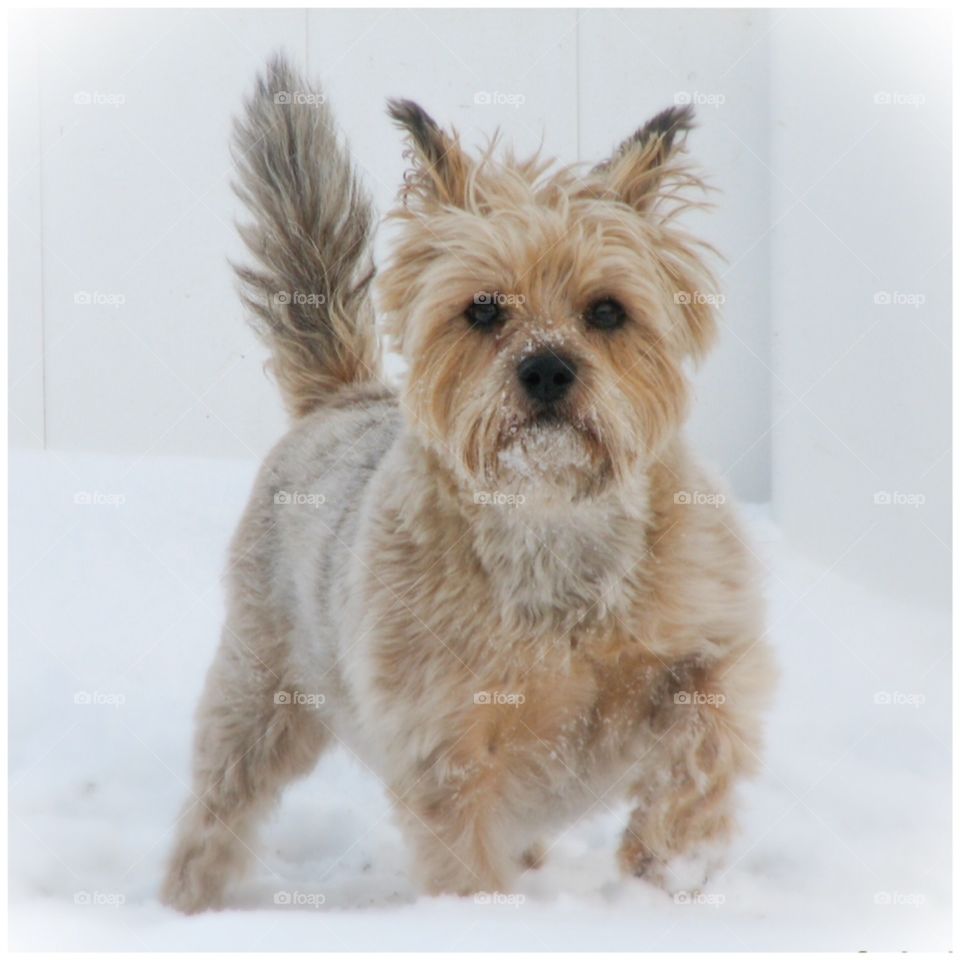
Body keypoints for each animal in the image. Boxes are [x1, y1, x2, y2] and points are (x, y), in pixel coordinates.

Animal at [158, 54, 772, 916]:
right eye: (483, 309)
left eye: (607, 311)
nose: (546, 369)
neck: (550, 521)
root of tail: (345, 397)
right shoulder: (444, 742)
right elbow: (465, 856)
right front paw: (483, 919)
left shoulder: (715, 635)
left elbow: (706, 729)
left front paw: (673, 855)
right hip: (258, 693)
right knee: (216, 811)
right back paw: (188, 904)